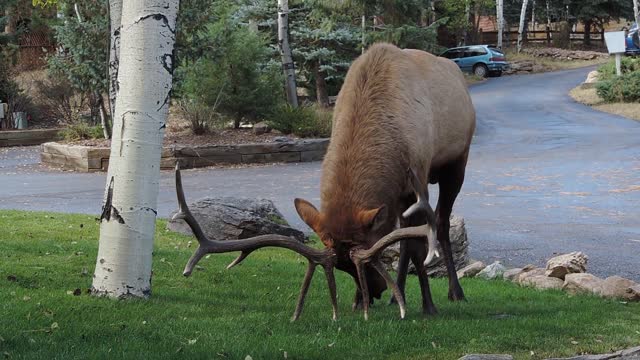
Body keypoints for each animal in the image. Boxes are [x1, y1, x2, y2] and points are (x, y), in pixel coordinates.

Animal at [175, 43, 476, 320]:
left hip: (456, 163)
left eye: (371, 261)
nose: (375, 291)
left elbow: (419, 244)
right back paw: (397, 294)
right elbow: (403, 242)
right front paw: (361, 300)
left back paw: (455, 292)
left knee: (440, 223)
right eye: (345, 268)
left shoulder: (418, 177)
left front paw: (428, 305)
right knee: (406, 237)